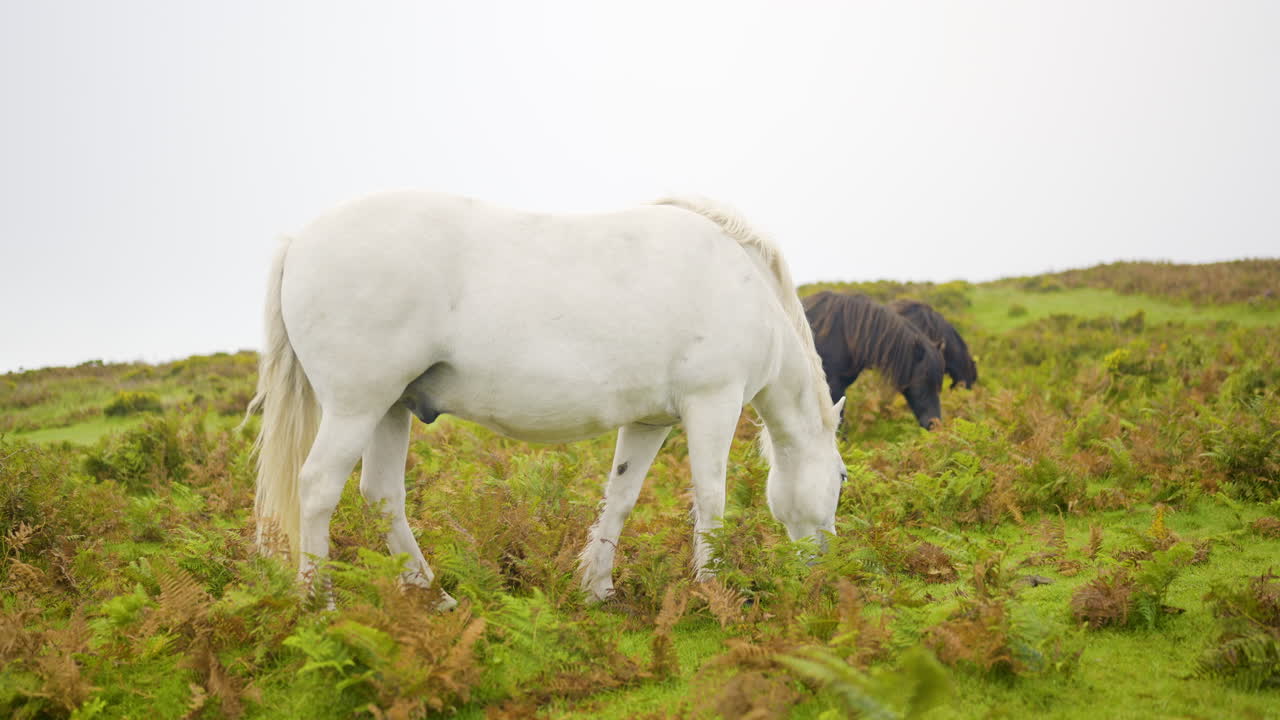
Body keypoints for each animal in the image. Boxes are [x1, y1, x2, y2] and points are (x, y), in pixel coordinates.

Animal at [247, 191, 847, 608]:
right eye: (842, 479)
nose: (825, 564)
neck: (742, 282)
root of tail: (299, 242)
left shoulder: (649, 423)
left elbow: (621, 497)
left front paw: (597, 588)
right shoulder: (712, 406)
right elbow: (711, 501)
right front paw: (713, 589)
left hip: (391, 409)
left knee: (382, 496)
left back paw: (434, 597)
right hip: (357, 408)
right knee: (318, 488)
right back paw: (321, 605)